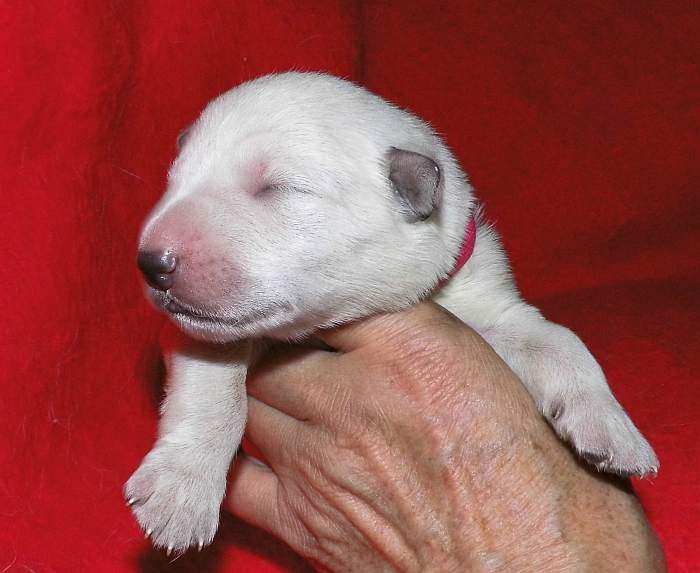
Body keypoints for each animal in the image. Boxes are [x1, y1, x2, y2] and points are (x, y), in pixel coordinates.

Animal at [124, 69, 656, 552]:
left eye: (277, 188)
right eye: (174, 179)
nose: (151, 263)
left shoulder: (484, 305)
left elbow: (559, 340)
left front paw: (615, 430)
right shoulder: (202, 332)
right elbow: (214, 392)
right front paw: (180, 493)